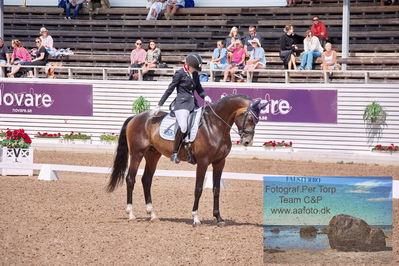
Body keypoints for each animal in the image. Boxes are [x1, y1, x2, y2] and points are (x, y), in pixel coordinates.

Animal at [108, 94, 268, 225]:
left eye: (257, 120)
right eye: (249, 118)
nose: (247, 142)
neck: (215, 126)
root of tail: (136, 117)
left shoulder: (219, 162)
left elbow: (216, 189)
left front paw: (218, 218)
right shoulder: (203, 162)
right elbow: (198, 189)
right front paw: (196, 218)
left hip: (153, 155)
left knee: (146, 179)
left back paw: (152, 214)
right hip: (137, 153)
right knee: (130, 179)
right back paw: (131, 214)